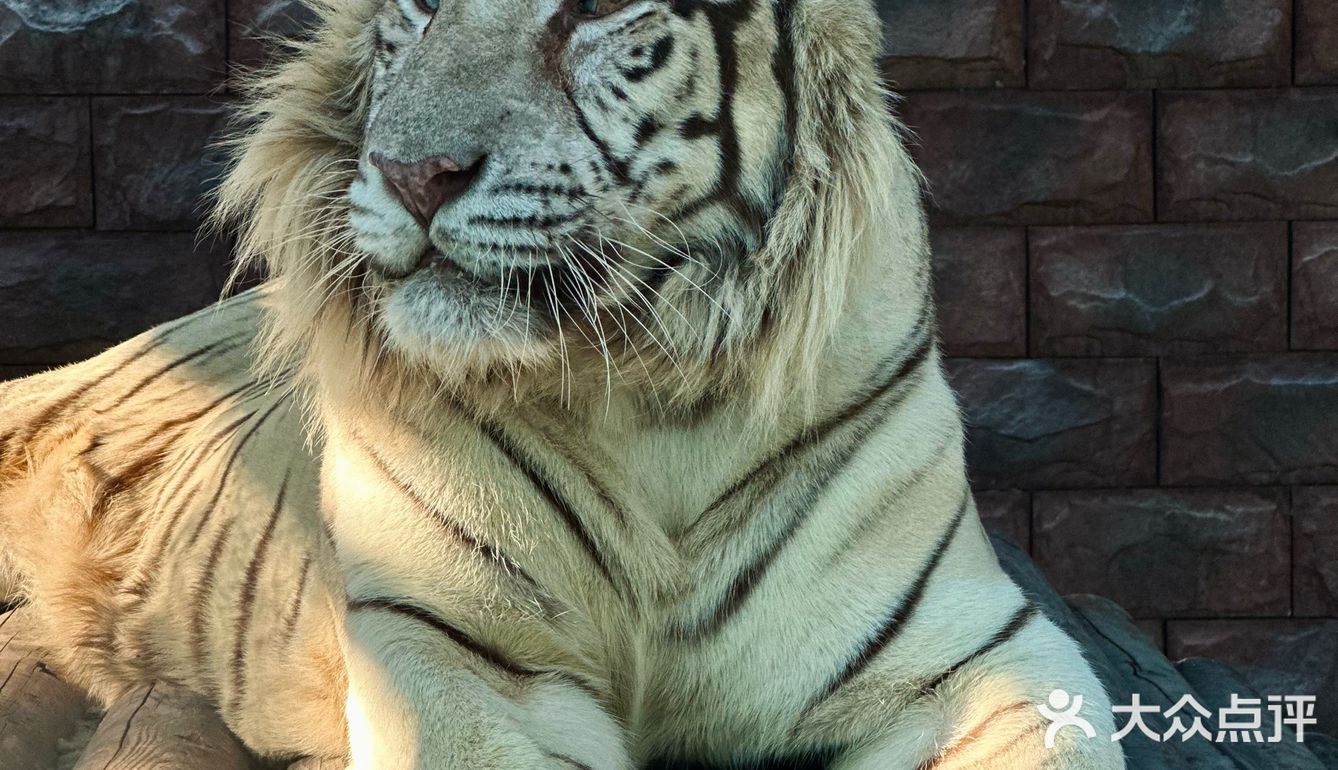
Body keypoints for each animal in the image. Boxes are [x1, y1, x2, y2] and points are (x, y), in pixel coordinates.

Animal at [0, 0, 1126, 768]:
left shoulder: (977, 654)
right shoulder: (453, 650)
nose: (413, 173)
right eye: (420, 1)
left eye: (595, 7)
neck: (657, 394)